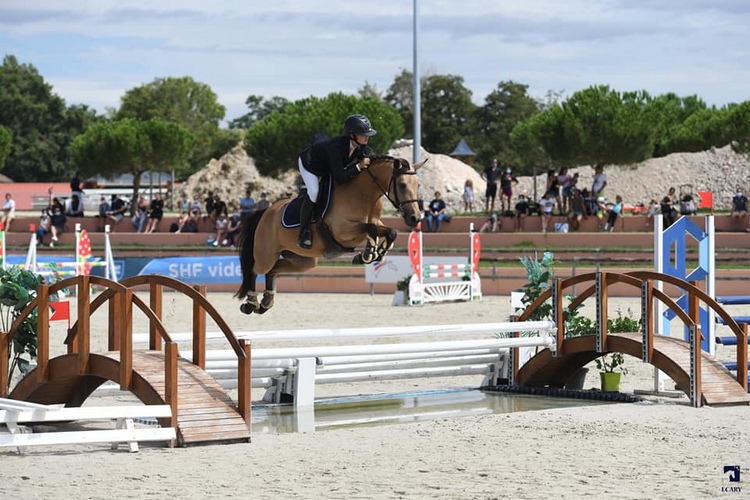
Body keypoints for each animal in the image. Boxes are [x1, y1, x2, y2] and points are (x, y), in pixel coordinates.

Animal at [235, 154, 426, 314]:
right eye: (402, 184)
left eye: (418, 185)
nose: (415, 218)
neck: (364, 195)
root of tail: (266, 212)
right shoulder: (342, 231)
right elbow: (370, 229)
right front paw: (366, 255)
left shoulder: (375, 223)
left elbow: (389, 231)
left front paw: (374, 255)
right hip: (266, 255)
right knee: (255, 270)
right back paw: (251, 304)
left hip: (303, 261)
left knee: (273, 271)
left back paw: (266, 302)